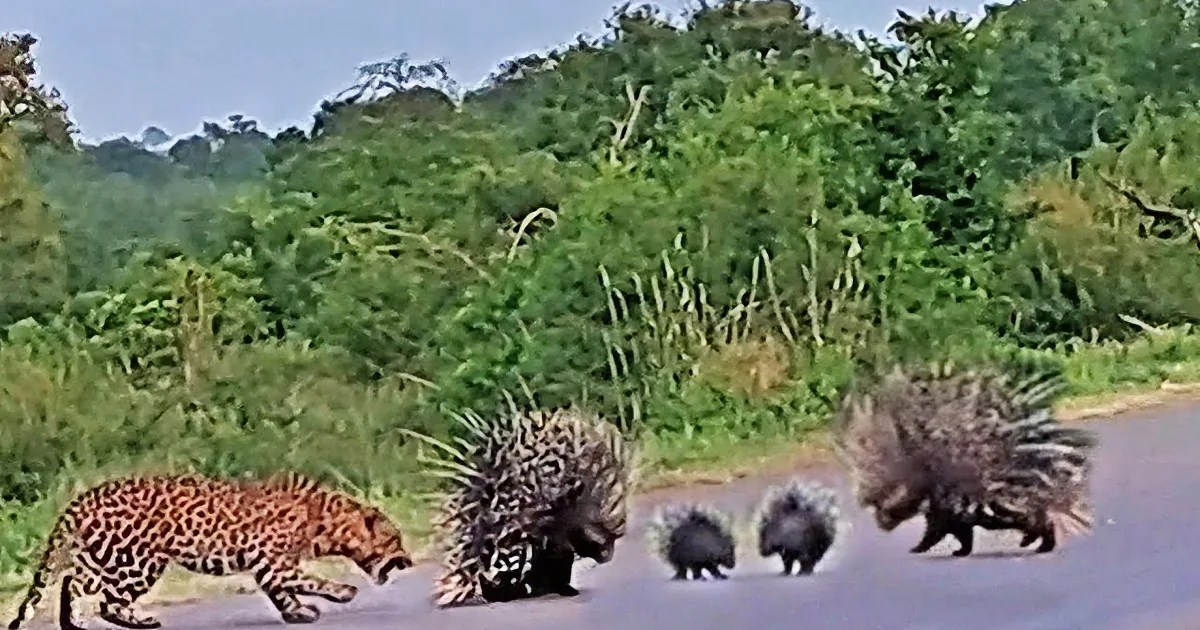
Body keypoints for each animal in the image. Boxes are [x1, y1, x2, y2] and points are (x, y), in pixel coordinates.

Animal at [6, 471, 415, 630]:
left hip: (103, 555)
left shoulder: (269, 567)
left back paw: (73, 623)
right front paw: (342, 592)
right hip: (139, 560)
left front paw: (298, 613)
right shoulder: (274, 562)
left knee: (74, 582)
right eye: (395, 540)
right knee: (107, 598)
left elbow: (284, 593)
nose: (409, 561)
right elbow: (307, 580)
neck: (326, 521)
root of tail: (87, 495)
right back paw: (142, 620)